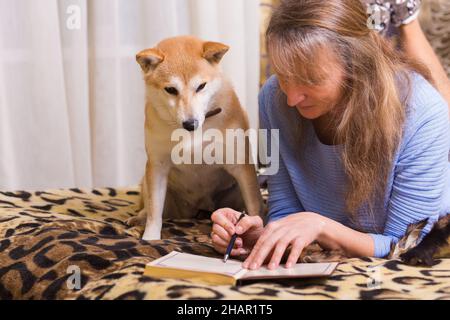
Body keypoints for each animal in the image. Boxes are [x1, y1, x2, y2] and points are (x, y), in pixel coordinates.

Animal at [127, 35, 264, 240]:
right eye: (171, 89)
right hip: (151, 184)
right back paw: (138, 218)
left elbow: (254, 206)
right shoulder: (158, 166)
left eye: (201, 86)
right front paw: (150, 238)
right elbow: (154, 211)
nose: (190, 124)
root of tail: (198, 210)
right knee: (150, 208)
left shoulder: (240, 165)